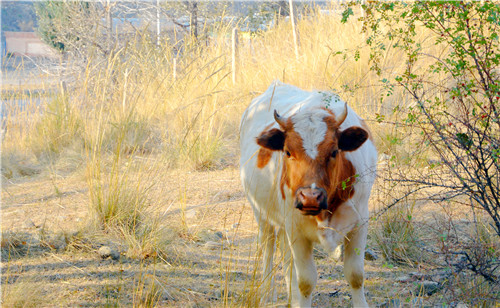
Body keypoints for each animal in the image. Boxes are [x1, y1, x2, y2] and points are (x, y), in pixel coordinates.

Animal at [240, 80, 376, 306]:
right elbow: (305, 281)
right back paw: (267, 293)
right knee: (268, 247)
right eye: (287, 152)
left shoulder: (360, 223)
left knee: (287, 258)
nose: (310, 197)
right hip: (261, 211)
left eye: (334, 151)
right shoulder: (296, 228)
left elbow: (356, 275)